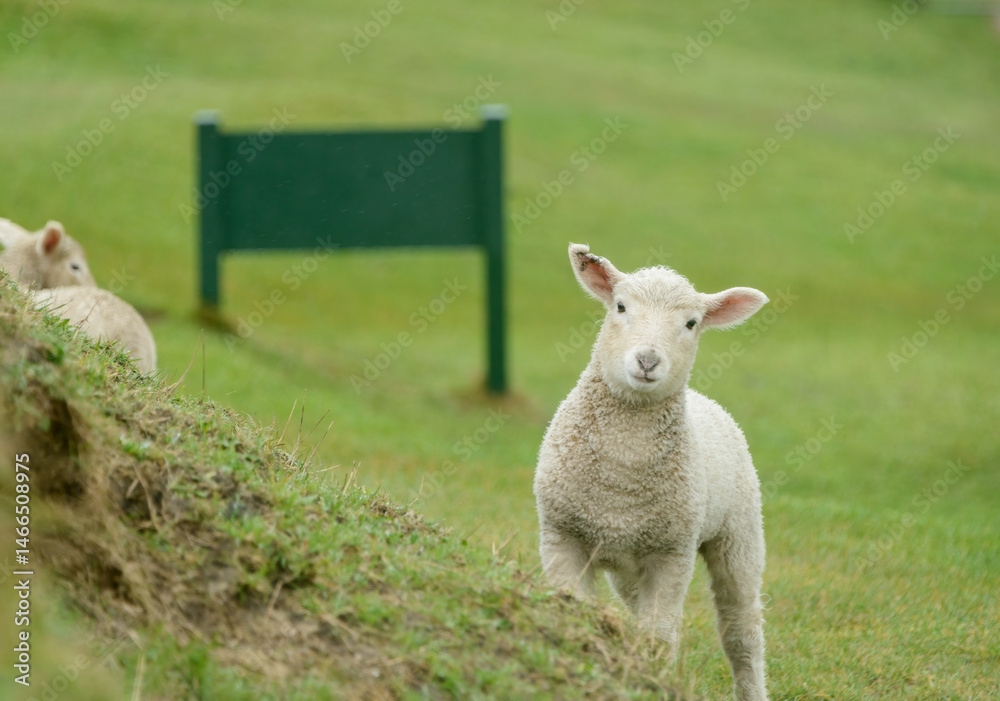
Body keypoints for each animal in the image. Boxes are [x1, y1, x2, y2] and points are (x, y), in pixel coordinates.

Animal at [534, 243, 770, 701]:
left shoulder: (671, 553)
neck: (622, 477)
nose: (647, 359)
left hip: (740, 532)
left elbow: (659, 636)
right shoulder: (562, 535)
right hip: (629, 561)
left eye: (691, 323)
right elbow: (575, 610)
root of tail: (707, 400)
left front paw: (652, 678)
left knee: (741, 631)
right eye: (620, 307)